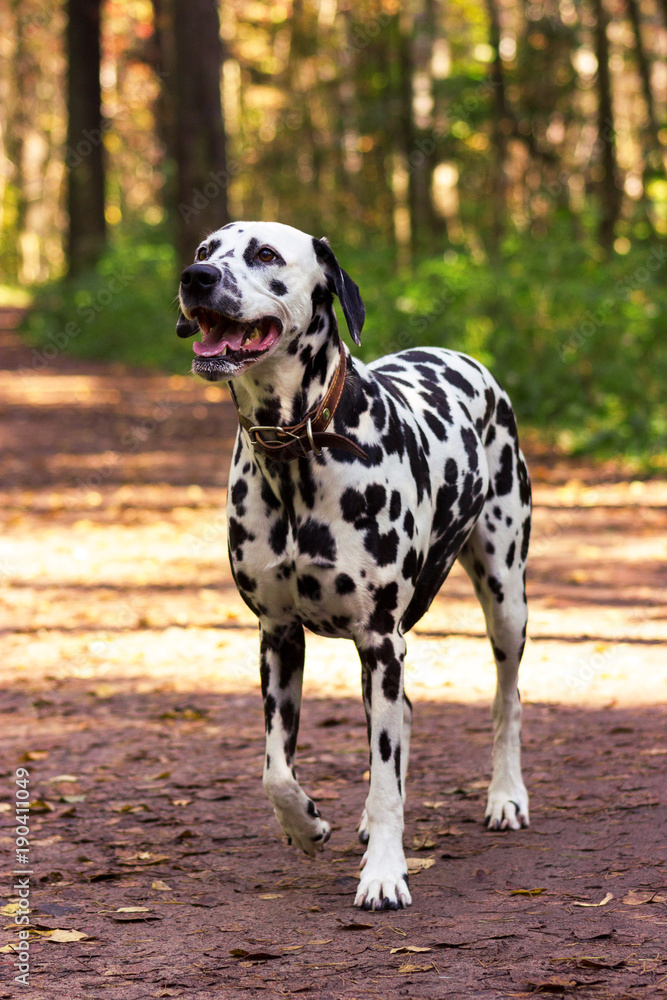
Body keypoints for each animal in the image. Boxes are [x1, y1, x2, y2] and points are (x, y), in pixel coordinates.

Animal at [177, 223, 532, 912]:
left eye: (264, 254)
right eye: (206, 251)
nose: (194, 278)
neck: (296, 454)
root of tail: (466, 359)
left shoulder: (379, 640)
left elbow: (388, 774)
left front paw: (385, 873)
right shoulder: (278, 638)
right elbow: (276, 770)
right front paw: (306, 826)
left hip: (505, 599)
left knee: (507, 701)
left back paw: (505, 797)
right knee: (400, 721)